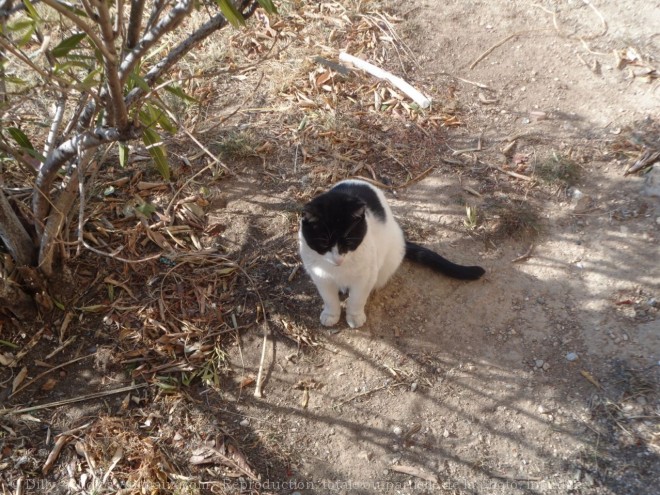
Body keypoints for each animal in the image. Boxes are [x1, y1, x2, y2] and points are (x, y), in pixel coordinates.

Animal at [300, 179, 484, 330]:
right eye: (324, 243)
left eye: (349, 242)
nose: (338, 259)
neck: (338, 270)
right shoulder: (320, 276)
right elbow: (329, 298)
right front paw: (331, 314)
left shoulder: (365, 276)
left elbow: (357, 298)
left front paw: (355, 316)